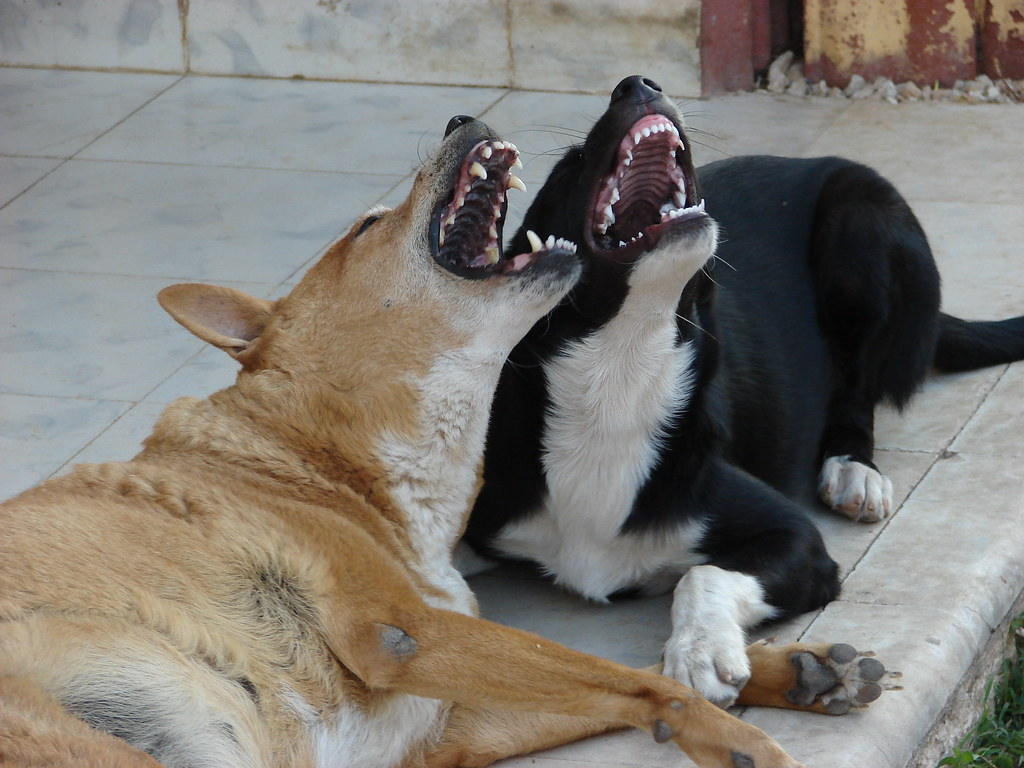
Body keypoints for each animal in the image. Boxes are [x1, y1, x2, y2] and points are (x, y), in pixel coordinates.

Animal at [0, 115, 839, 768]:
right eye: (367, 226)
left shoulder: (436, 725)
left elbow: (624, 672)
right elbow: (628, 676)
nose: (458, 119)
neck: (328, 464)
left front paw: (788, 670)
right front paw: (746, 739)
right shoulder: (408, 634)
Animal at [464, 76, 1024, 708]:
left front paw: (700, 652)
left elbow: (700, 572)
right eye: (571, 162)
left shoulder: (795, 540)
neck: (618, 373)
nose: (637, 84)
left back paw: (853, 471)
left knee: (857, 393)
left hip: (861, 222)